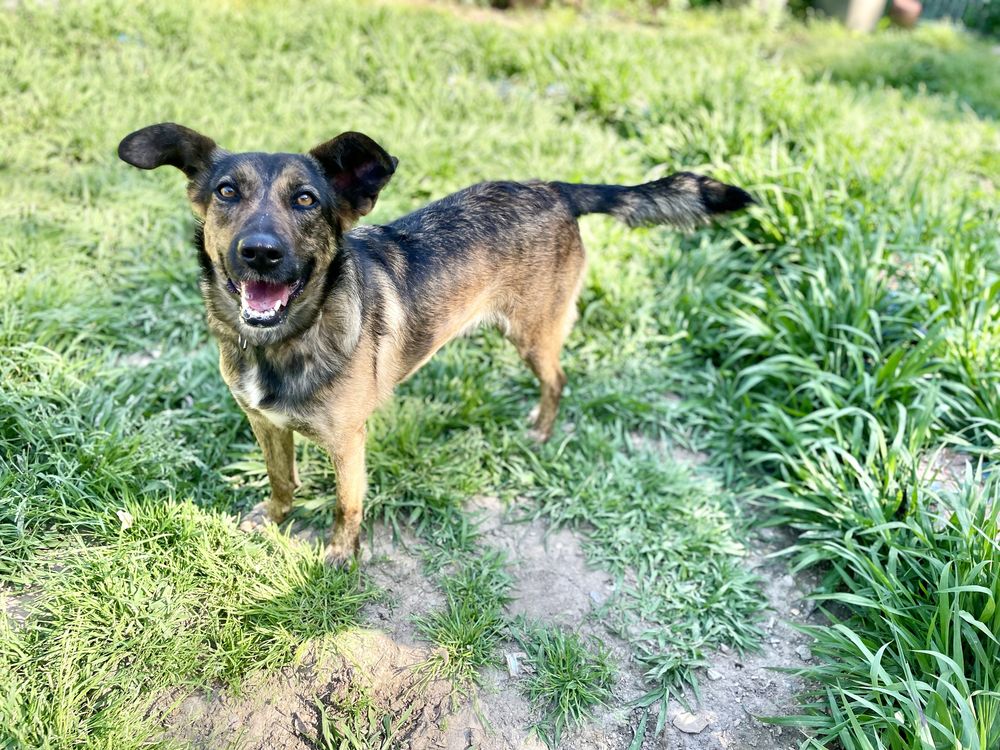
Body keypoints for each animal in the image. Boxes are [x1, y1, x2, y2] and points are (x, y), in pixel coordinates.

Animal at [117, 123, 752, 568]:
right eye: (227, 192)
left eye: (306, 201)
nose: (260, 253)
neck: (282, 343)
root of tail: (554, 190)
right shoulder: (264, 423)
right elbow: (282, 480)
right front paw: (272, 519)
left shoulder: (348, 443)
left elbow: (347, 506)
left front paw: (340, 557)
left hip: (533, 331)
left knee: (557, 378)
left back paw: (541, 430)